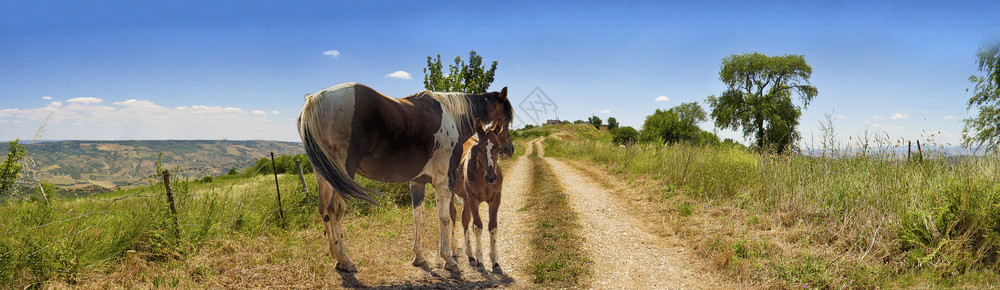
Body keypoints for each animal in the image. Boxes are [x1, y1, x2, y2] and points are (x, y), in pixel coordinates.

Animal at [450, 119, 504, 274]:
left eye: (498, 148)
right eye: (479, 149)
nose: (491, 178)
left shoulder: (495, 199)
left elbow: (492, 227)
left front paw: (495, 263)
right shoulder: (474, 200)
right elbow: (478, 227)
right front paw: (480, 261)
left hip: (466, 199)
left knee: (464, 219)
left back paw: (470, 254)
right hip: (451, 193)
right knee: (452, 217)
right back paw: (454, 250)